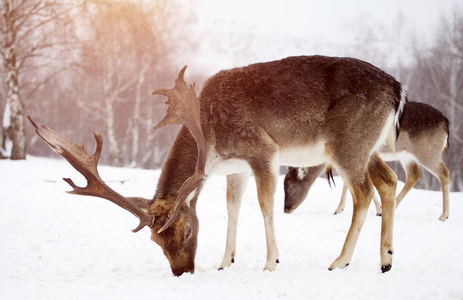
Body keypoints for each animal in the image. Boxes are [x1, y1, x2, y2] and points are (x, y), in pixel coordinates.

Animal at [29, 54, 408, 276]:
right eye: (154, 241)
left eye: (187, 230)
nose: (181, 272)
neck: (210, 143)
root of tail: (397, 90)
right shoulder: (236, 166)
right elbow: (232, 208)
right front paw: (226, 261)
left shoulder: (262, 150)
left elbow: (265, 206)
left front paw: (271, 262)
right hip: (368, 148)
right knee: (388, 180)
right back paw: (386, 259)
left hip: (348, 145)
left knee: (363, 192)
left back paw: (340, 261)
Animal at [284, 101, 452, 220]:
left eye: (290, 188)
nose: (286, 209)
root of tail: (446, 122)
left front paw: (341, 208)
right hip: (408, 156)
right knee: (414, 175)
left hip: (427, 151)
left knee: (444, 173)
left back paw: (443, 216)